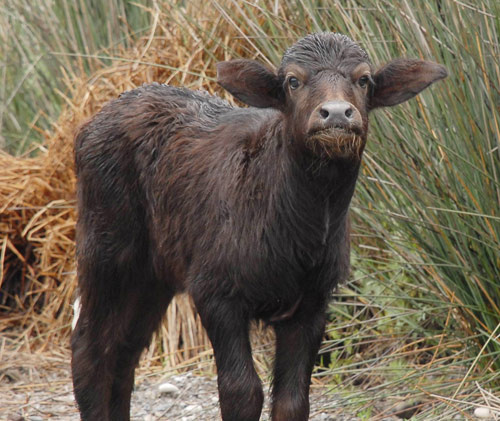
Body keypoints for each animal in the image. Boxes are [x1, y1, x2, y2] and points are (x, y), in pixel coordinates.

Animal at [69, 32, 446, 420]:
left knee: (124, 351)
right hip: (106, 251)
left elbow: (293, 400)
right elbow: (242, 392)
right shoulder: (215, 293)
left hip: (152, 276)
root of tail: (90, 126)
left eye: (364, 79)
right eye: (293, 81)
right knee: (90, 349)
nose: (337, 113)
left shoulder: (312, 304)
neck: (293, 230)